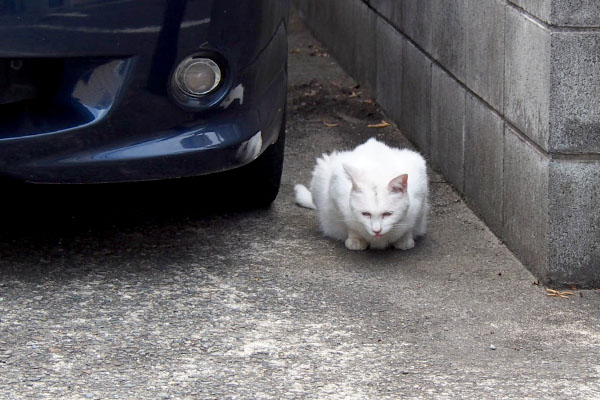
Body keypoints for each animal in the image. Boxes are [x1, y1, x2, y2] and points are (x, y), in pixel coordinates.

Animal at [294, 138, 426, 250]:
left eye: (388, 214)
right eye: (365, 214)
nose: (376, 230)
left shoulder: (419, 196)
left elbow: (410, 225)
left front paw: (404, 240)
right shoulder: (337, 194)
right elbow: (350, 225)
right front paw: (355, 240)